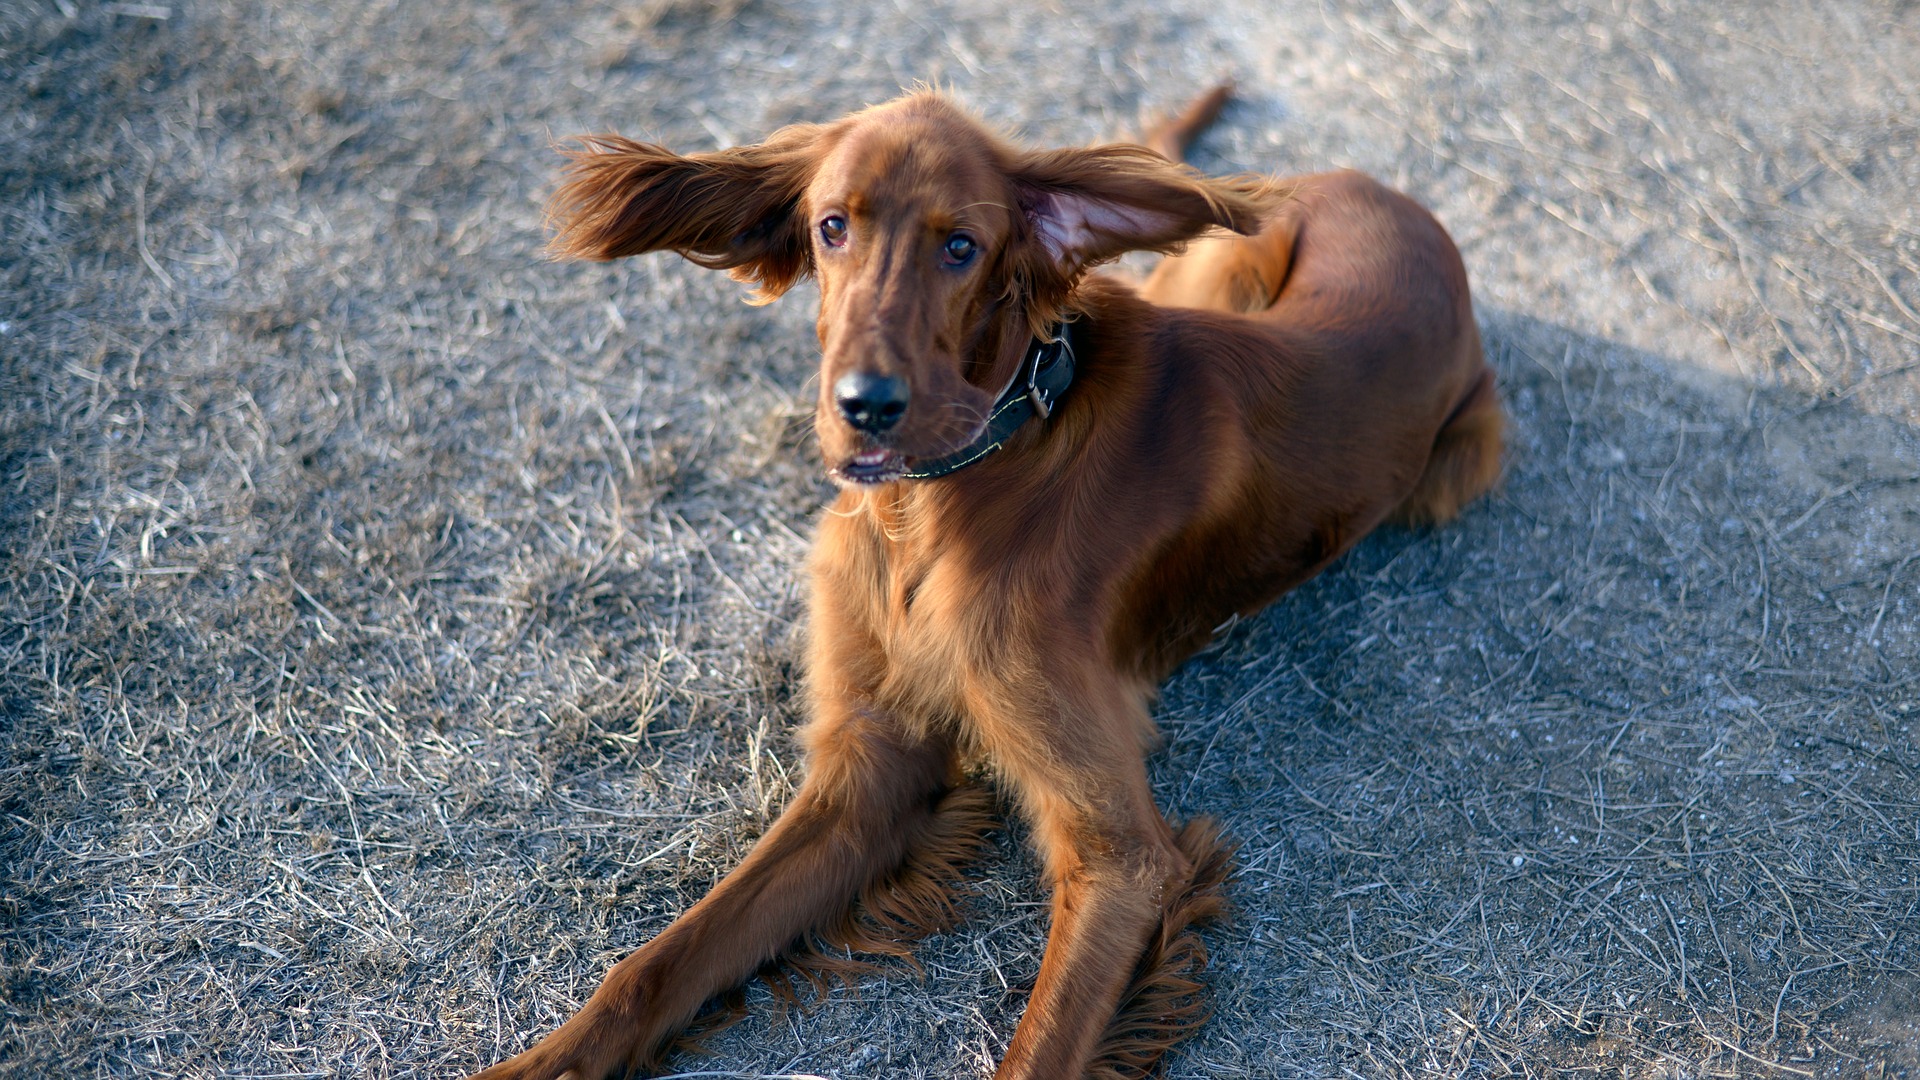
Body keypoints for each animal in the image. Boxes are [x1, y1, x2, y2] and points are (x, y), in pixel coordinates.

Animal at [464, 85, 1497, 1076]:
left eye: (960, 246)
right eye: (831, 226)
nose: (866, 408)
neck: (957, 485)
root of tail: (1379, 188)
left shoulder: (1124, 861)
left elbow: (1040, 1048)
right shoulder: (867, 769)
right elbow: (658, 964)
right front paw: (533, 1065)